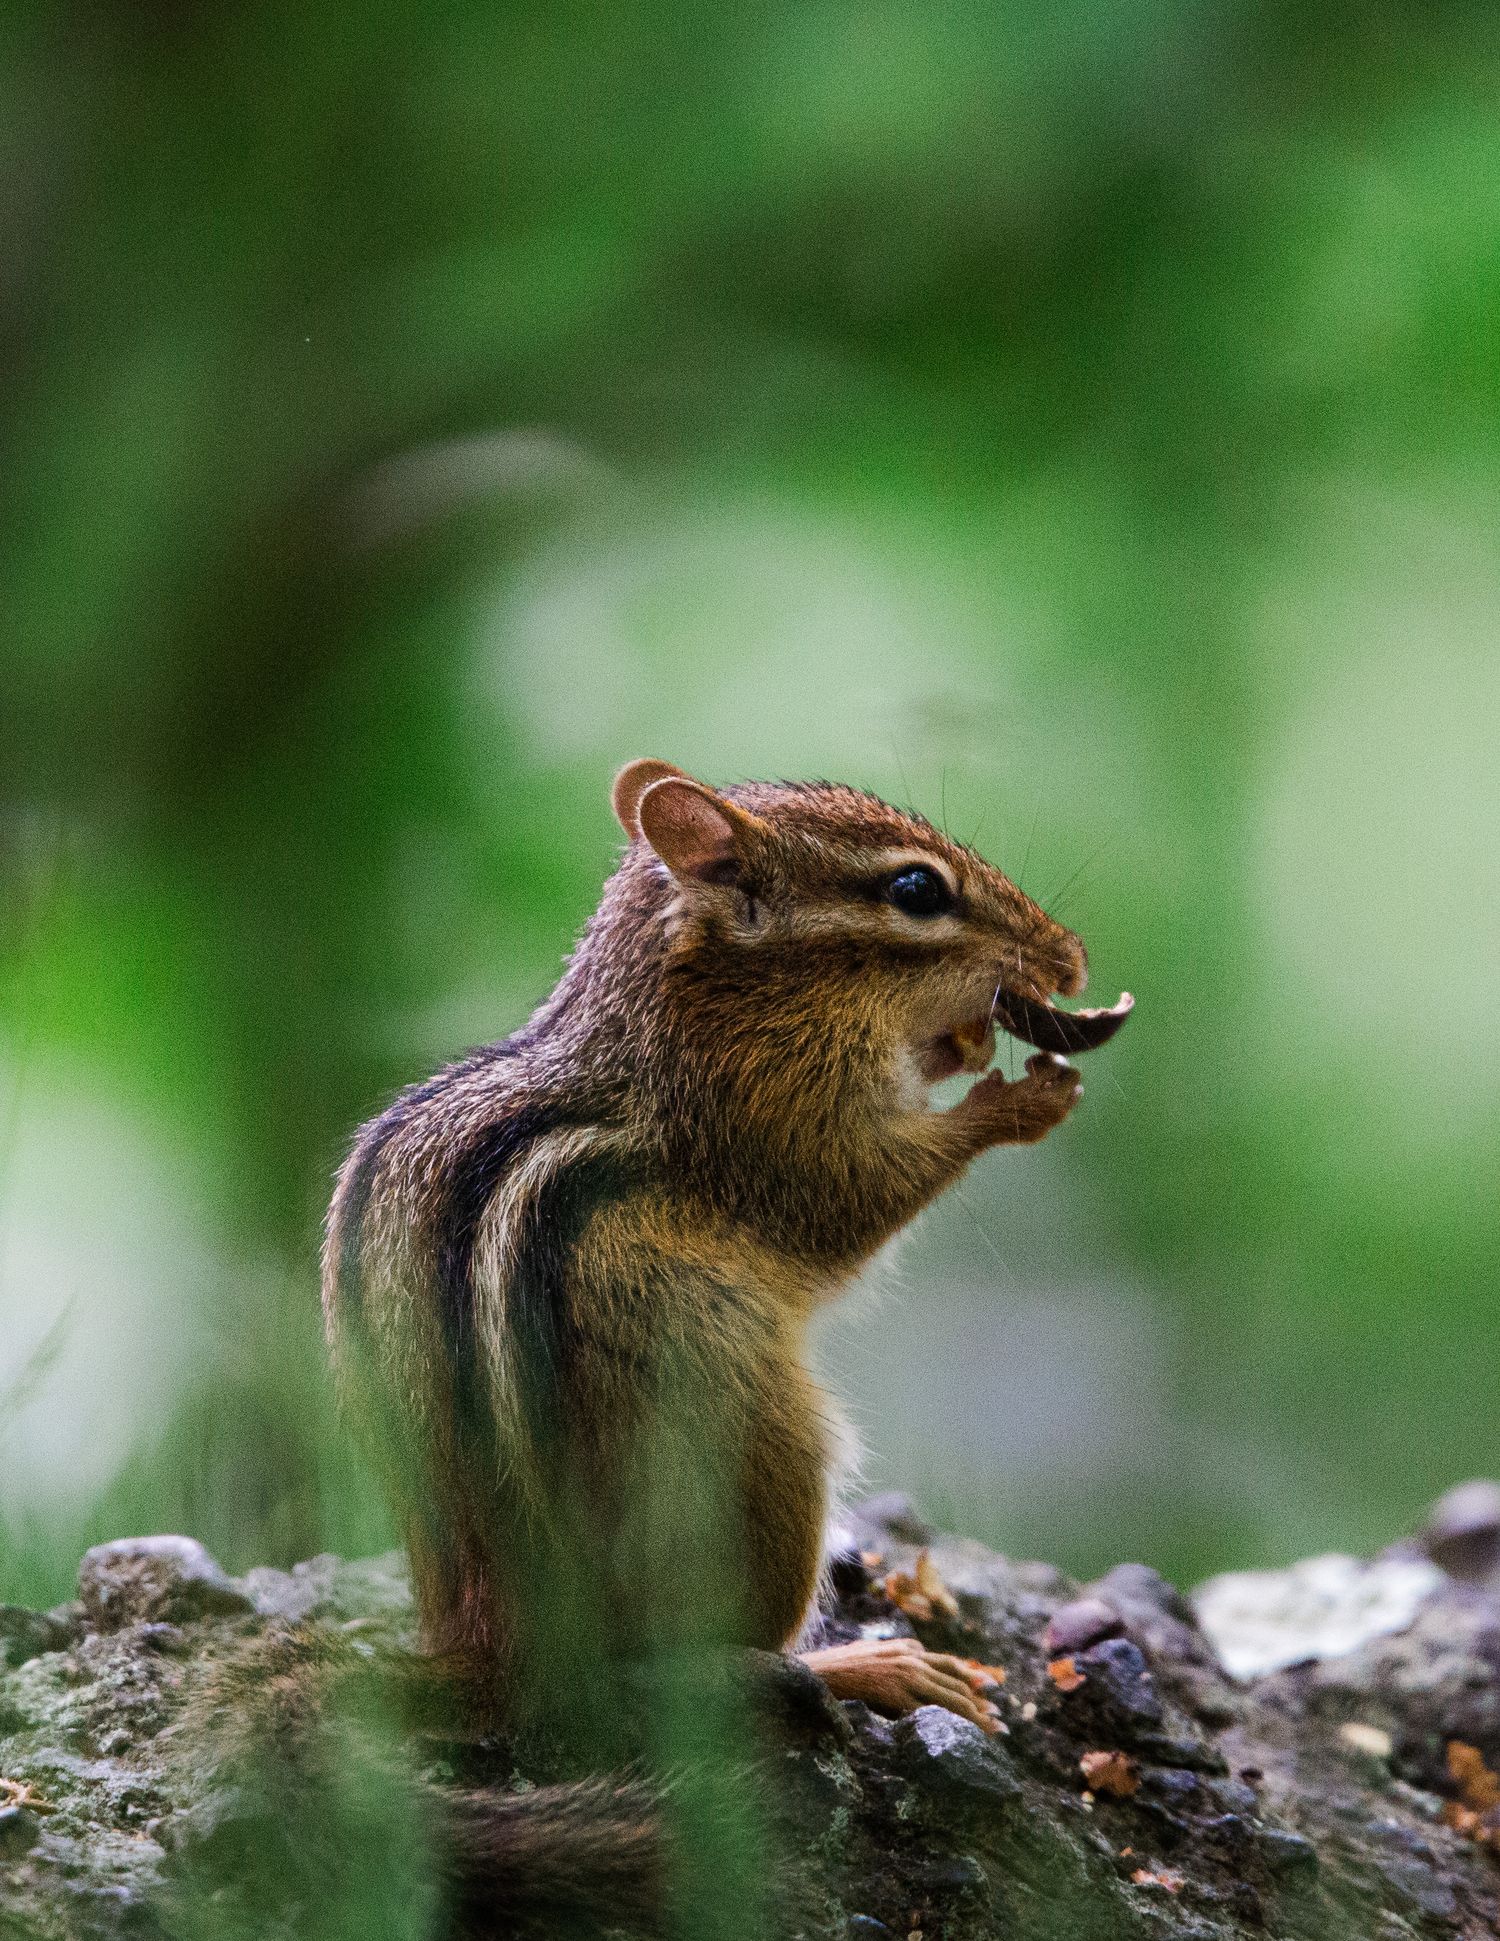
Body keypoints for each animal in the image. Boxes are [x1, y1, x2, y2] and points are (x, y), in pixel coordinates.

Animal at [321, 759, 1131, 1925]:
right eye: (918, 891)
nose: (1070, 958)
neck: (701, 1000)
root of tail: (496, 1653)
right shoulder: (776, 1122)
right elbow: (855, 1198)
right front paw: (1014, 1095)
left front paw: (969, 1046)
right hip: (760, 1444)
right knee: (685, 1677)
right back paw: (865, 1672)